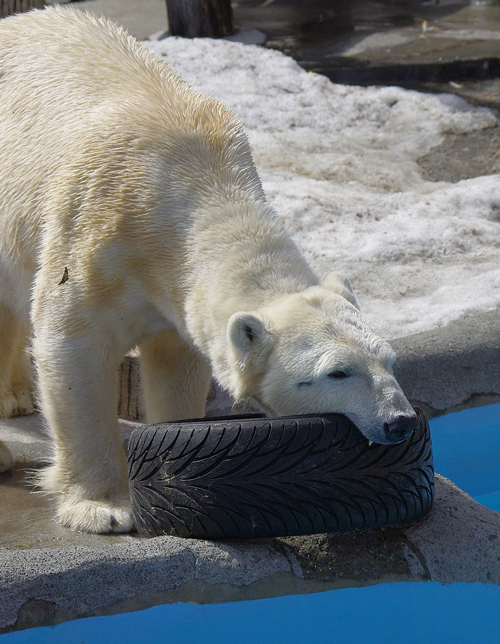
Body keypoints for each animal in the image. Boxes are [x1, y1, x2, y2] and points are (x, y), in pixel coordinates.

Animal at [0, 7, 416, 532]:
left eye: (390, 360)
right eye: (336, 372)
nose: (400, 422)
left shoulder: (172, 290)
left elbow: (176, 364)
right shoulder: (93, 233)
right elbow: (73, 350)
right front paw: (103, 507)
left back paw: (13, 393)